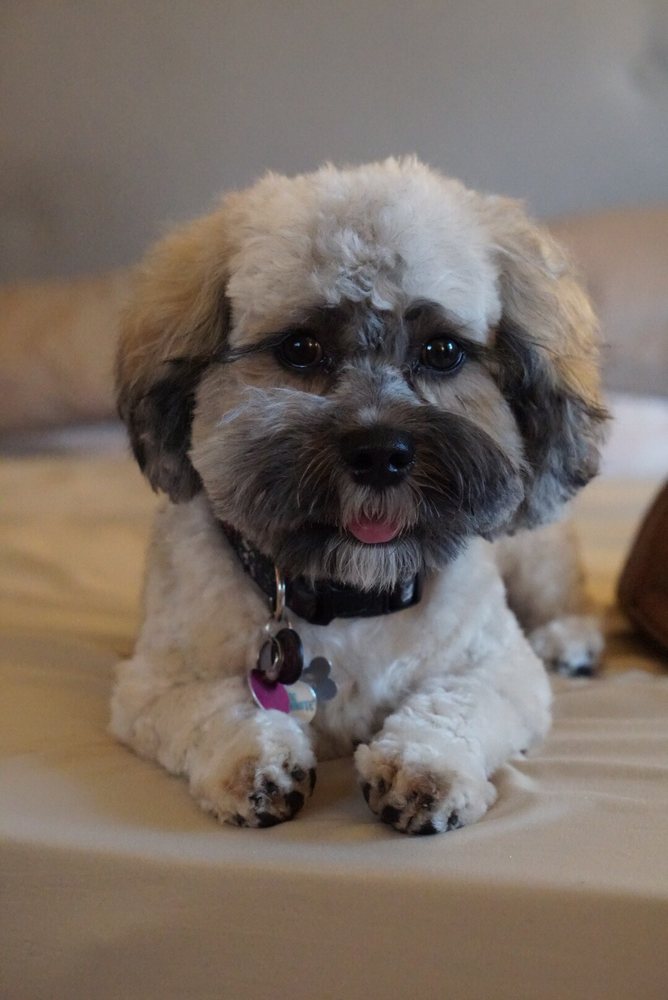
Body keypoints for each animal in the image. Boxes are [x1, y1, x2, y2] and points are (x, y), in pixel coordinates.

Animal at [111, 158, 607, 835]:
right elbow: (218, 706)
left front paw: (425, 764)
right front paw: (251, 759)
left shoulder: (500, 666)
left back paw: (569, 639)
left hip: (535, 555)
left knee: (560, 595)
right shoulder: (152, 683)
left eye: (442, 351)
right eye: (300, 348)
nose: (380, 453)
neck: (352, 591)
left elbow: (457, 704)